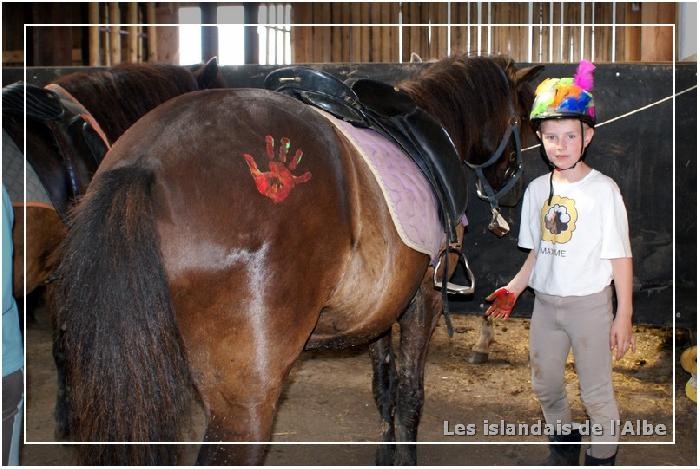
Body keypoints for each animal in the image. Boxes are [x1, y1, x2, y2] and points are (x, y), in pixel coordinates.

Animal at [53, 54, 540, 464]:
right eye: (521, 120)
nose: (515, 193)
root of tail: (146, 162)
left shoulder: (384, 306)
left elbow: (383, 386)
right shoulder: (425, 299)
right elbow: (409, 392)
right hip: (245, 401)